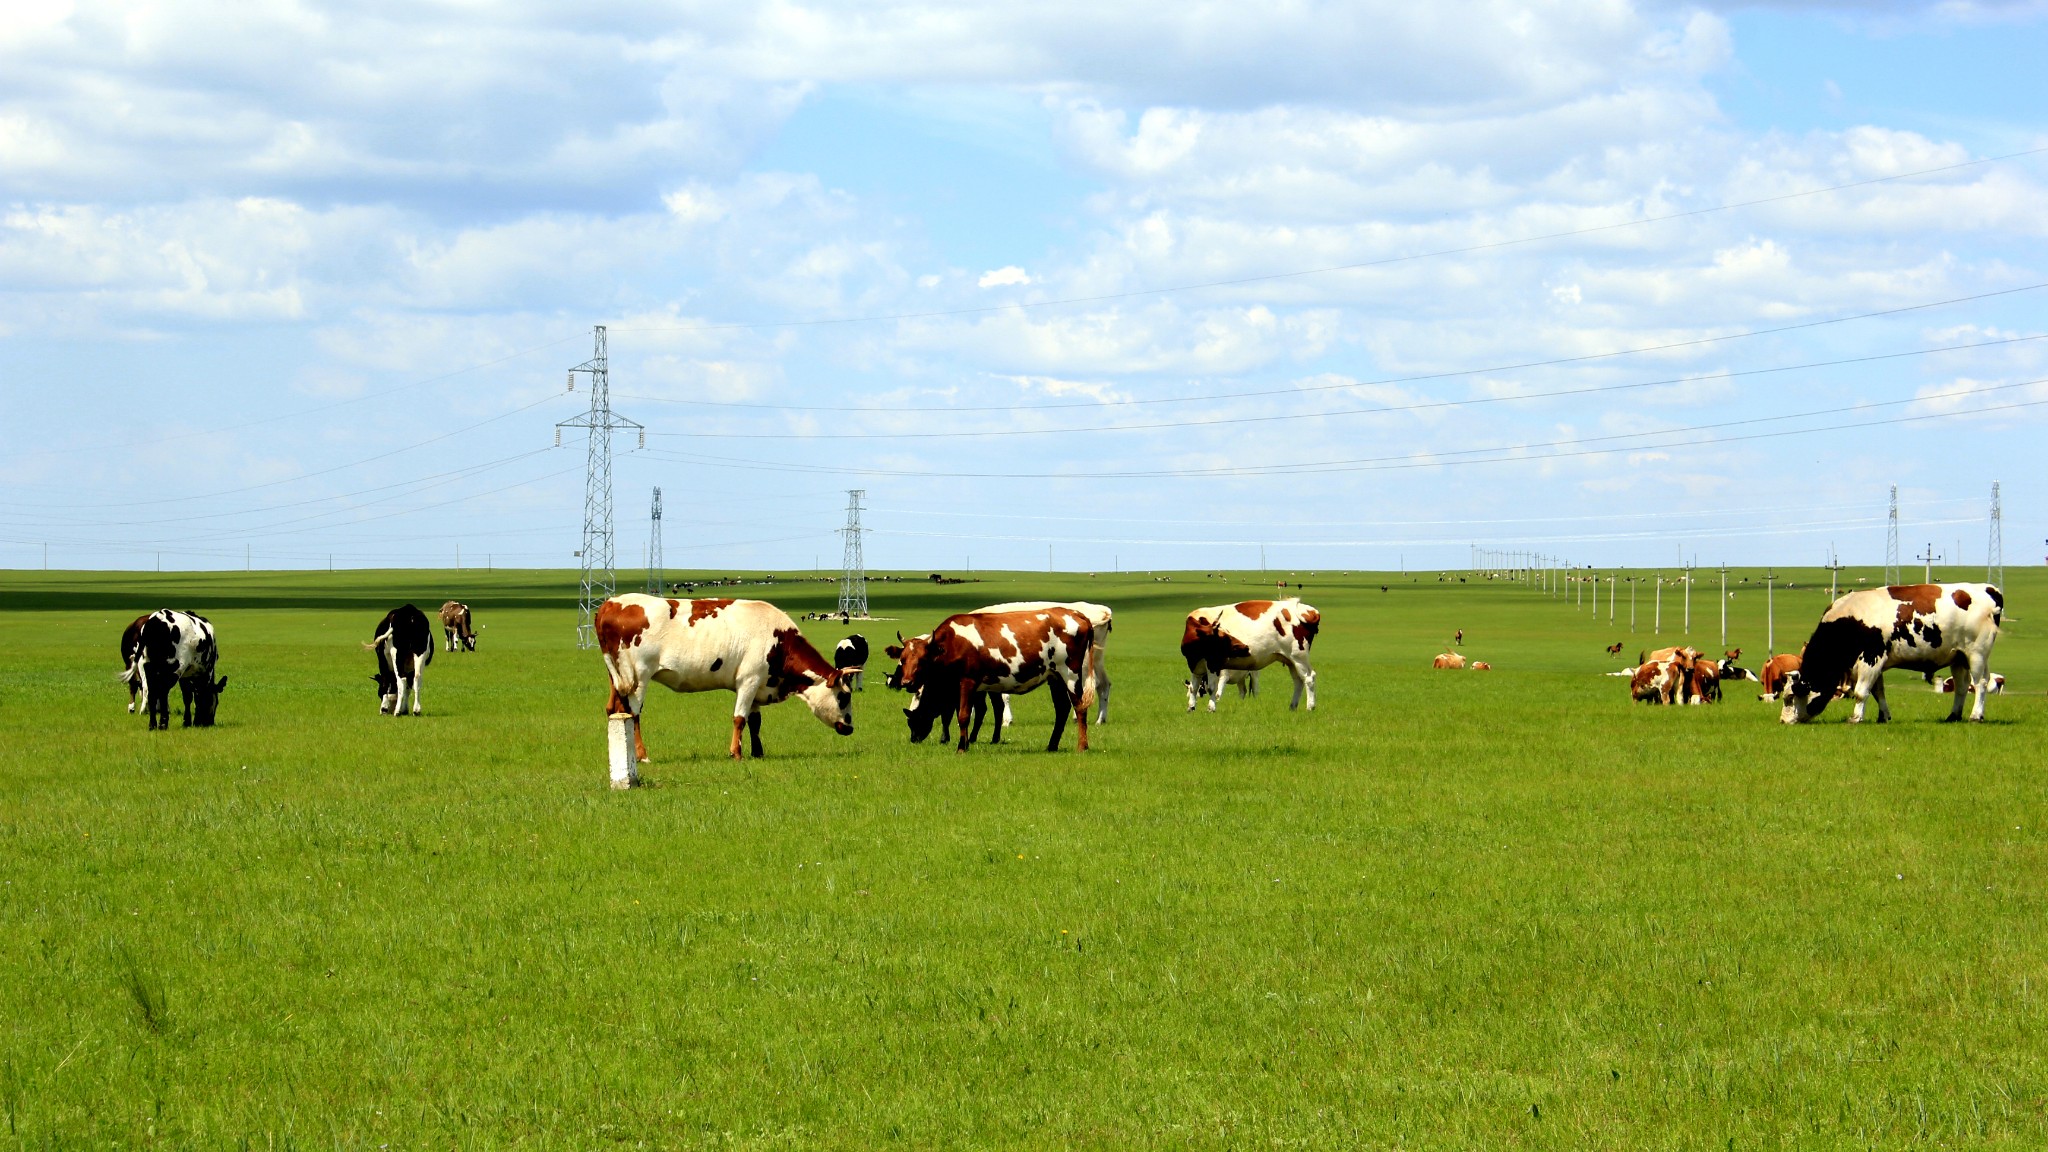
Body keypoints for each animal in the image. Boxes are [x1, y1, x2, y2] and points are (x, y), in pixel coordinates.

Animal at [598, 590, 851, 762]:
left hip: (616, 676)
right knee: (633, 713)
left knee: (614, 709)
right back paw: (642, 755)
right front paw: (736, 753)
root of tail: (611, 603)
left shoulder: (758, 684)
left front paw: (757, 752)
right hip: (638, 676)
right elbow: (739, 718)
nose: (850, 728)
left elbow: (755, 721)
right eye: (843, 697)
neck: (780, 640)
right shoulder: (748, 680)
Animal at [892, 602, 1089, 754]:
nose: (906, 682)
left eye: (922, 660)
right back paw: (1052, 745)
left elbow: (963, 715)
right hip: (1054, 678)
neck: (952, 643)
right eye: (903, 659)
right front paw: (964, 743)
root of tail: (1076, 613)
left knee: (1079, 707)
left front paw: (961, 748)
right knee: (1062, 709)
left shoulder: (967, 682)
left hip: (1070, 675)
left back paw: (1082, 746)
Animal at [1187, 594, 1327, 713]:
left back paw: (1310, 707)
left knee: (1309, 677)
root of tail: (1308, 610)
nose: (1243, 646)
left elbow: (1212, 688)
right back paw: (1293, 706)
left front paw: (1210, 708)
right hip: (1291, 660)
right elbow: (1194, 686)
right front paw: (1191, 707)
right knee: (1298, 680)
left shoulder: (1213, 665)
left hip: (1299, 657)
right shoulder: (1196, 665)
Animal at [1777, 578, 1998, 721]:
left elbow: (1861, 692)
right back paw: (1953, 716)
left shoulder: (1871, 659)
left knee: (1980, 683)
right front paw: (1884, 716)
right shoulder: (1874, 663)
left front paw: (1855, 718)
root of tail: (1988, 588)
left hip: (1977, 654)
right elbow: (1878, 692)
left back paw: (1976, 715)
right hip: (1959, 657)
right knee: (1961, 686)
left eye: (1790, 698)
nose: (1783, 721)